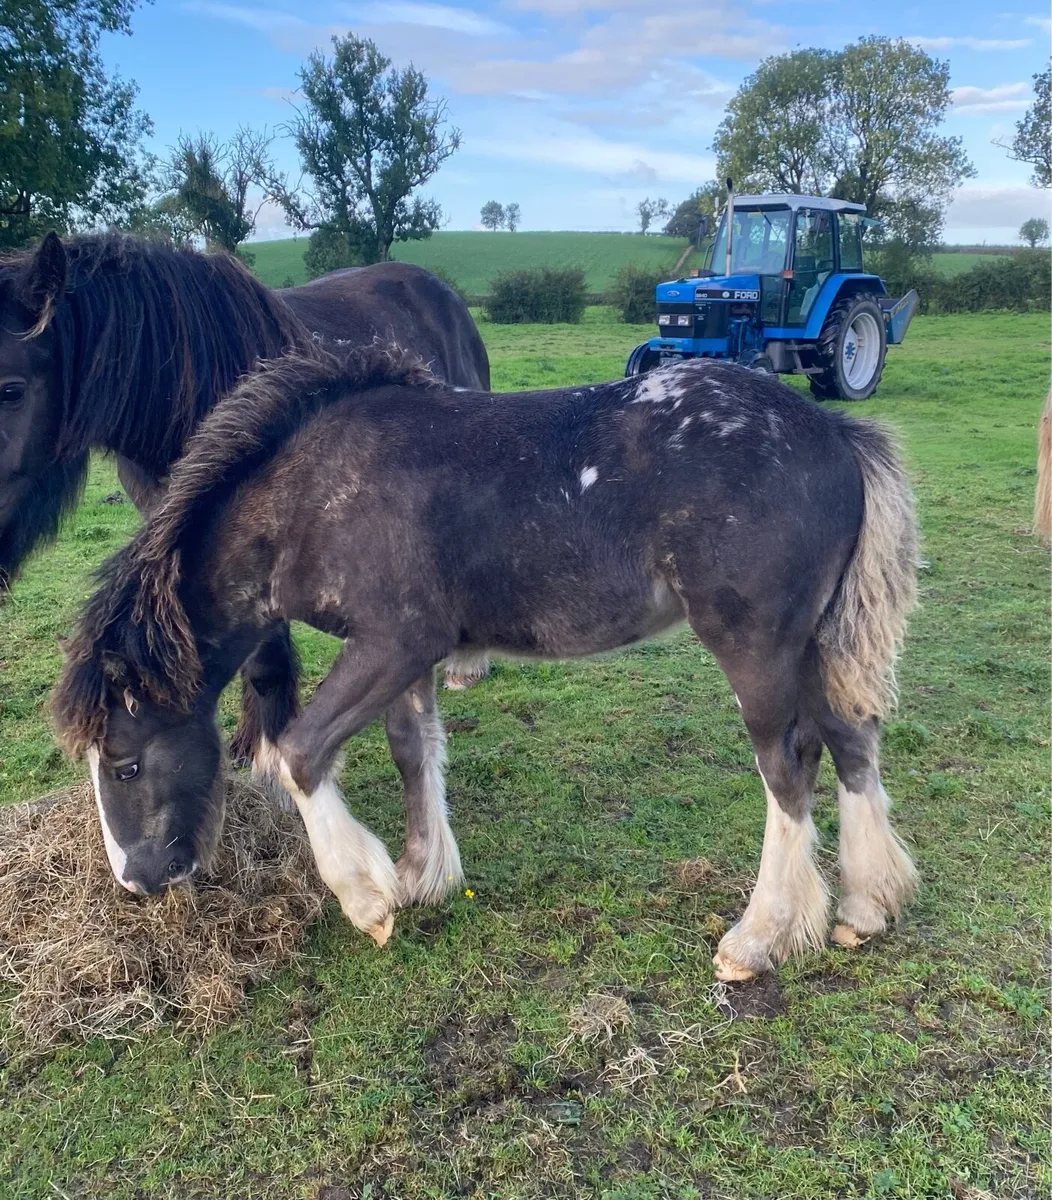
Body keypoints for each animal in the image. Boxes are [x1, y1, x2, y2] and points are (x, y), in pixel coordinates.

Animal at [52, 346, 920, 982]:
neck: (313, 495)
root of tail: (835, 432)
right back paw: (866, 907)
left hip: (757, 646)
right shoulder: (407, 653)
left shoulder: (394, 641)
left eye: (125, 765)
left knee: (788, 765)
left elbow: (298, 753)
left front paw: (368, 899)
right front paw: (422, 876)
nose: (137, 880)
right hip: (817, 642)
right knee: (852, 739)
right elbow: (414, 750)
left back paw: (760, 937)